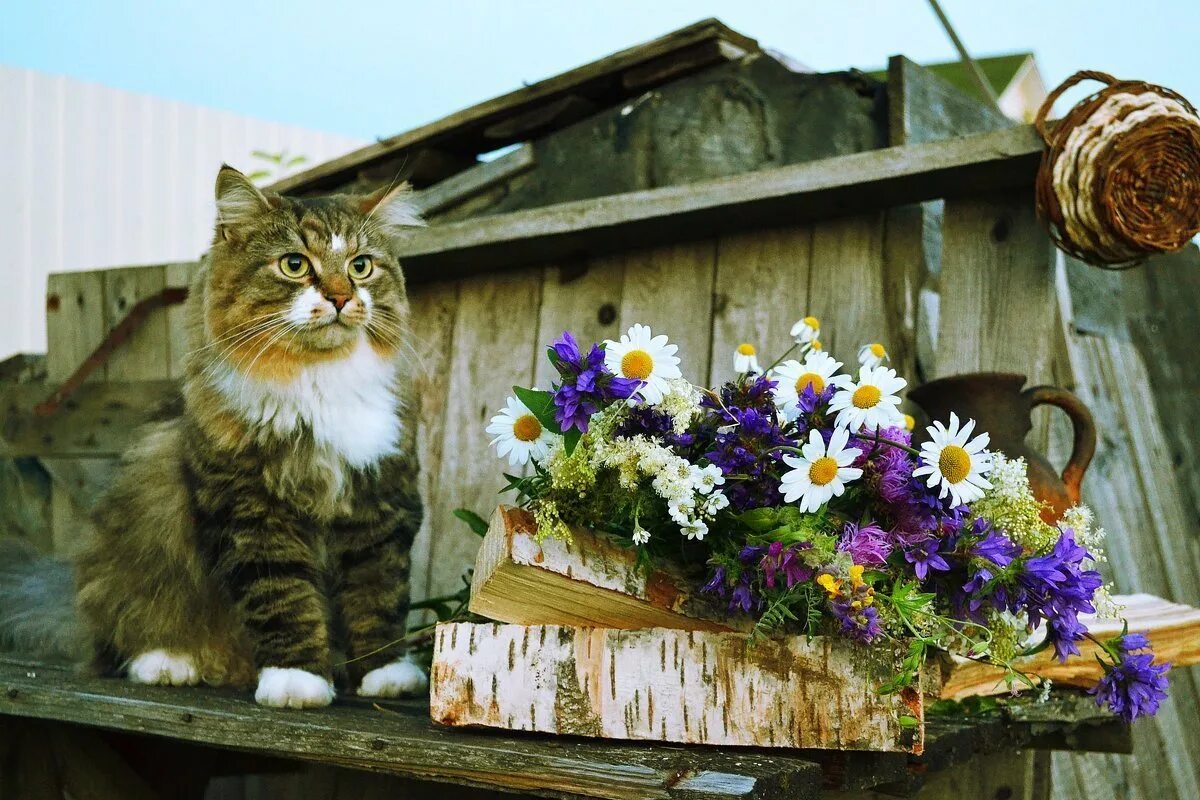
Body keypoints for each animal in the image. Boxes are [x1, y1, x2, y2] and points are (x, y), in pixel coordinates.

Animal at [0, 164, 429, 705]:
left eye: (360, 266)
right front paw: (297, 681)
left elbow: (379, 597)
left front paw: (387, 675)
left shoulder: (380, 501)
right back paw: (168, 662)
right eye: (294, 265)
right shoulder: (251, 508)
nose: (340, 296)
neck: (318, 382)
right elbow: (285, 598)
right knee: (121, 641)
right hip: (134, 544)